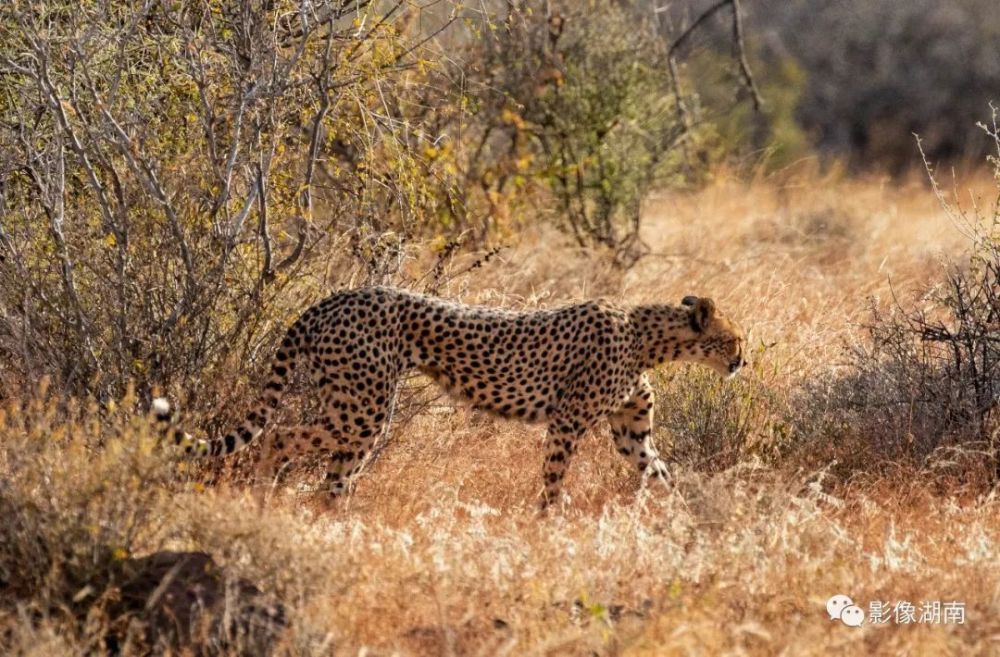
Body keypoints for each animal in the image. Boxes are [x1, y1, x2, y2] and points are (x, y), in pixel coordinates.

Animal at [156, 284, 748, 504]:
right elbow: (554, 479)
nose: (743, 360)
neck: (647, 338)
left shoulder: (630, 431)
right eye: (732, 339)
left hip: (356, 408)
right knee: (281, 435)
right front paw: (548, 523)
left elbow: (660, 470)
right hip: (364, 407)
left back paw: (335, 518)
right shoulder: (567, 423)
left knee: (334, 473)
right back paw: (263, 497)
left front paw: (680, 517)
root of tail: (339, 295)